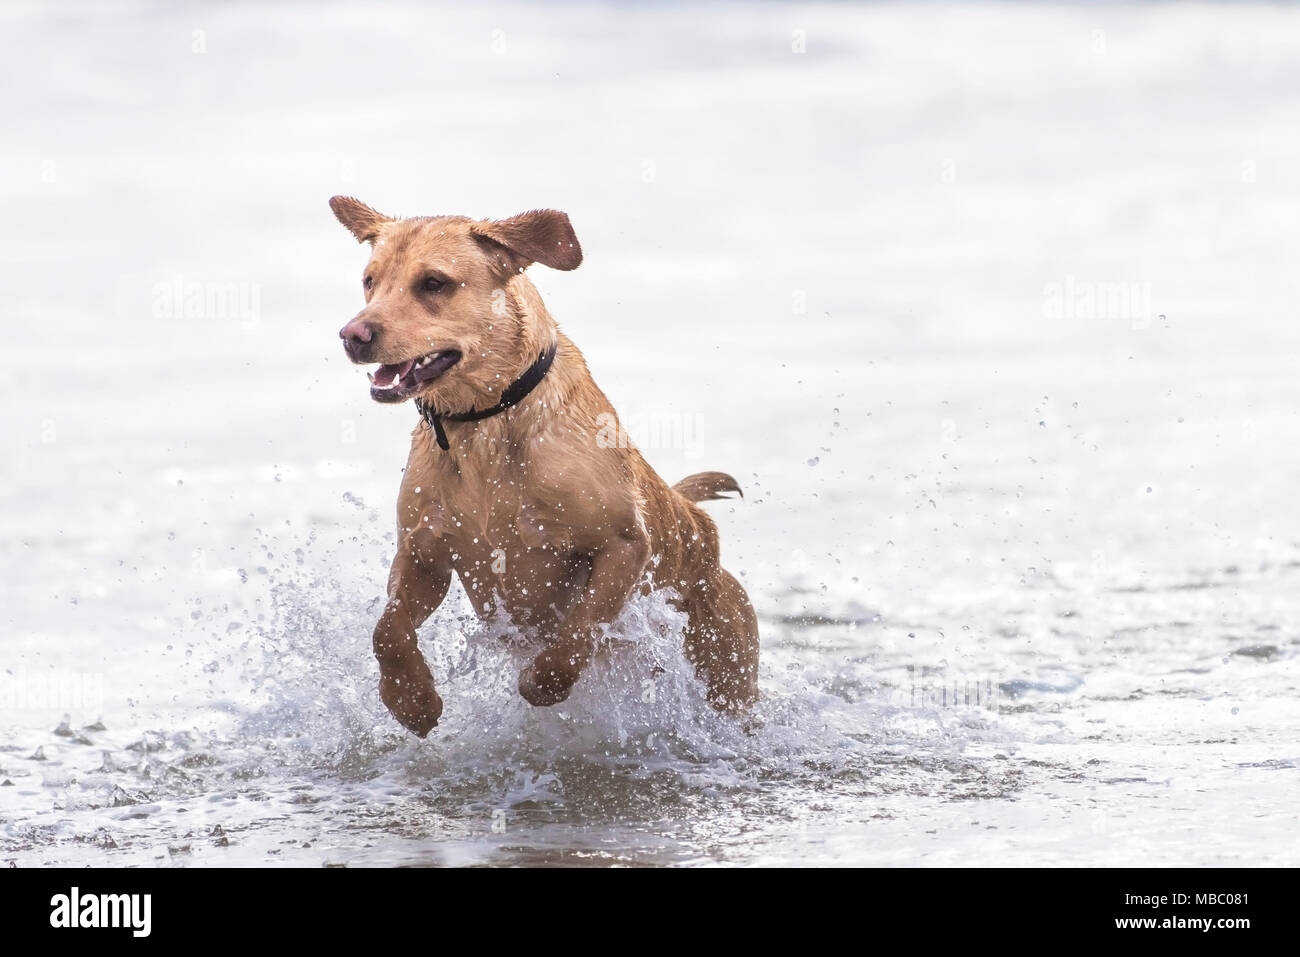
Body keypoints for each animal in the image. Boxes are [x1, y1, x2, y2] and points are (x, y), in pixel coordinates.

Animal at [330, 192, 759, 733]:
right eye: (370, 280)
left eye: (433, 283)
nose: (352, 335)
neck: (484, 425)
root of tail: (705, 534)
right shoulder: (423, 552)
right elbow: (386, 628)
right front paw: (411, 700)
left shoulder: (623, 545)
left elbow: (581, 626)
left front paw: (543, 681)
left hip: (726, 666)